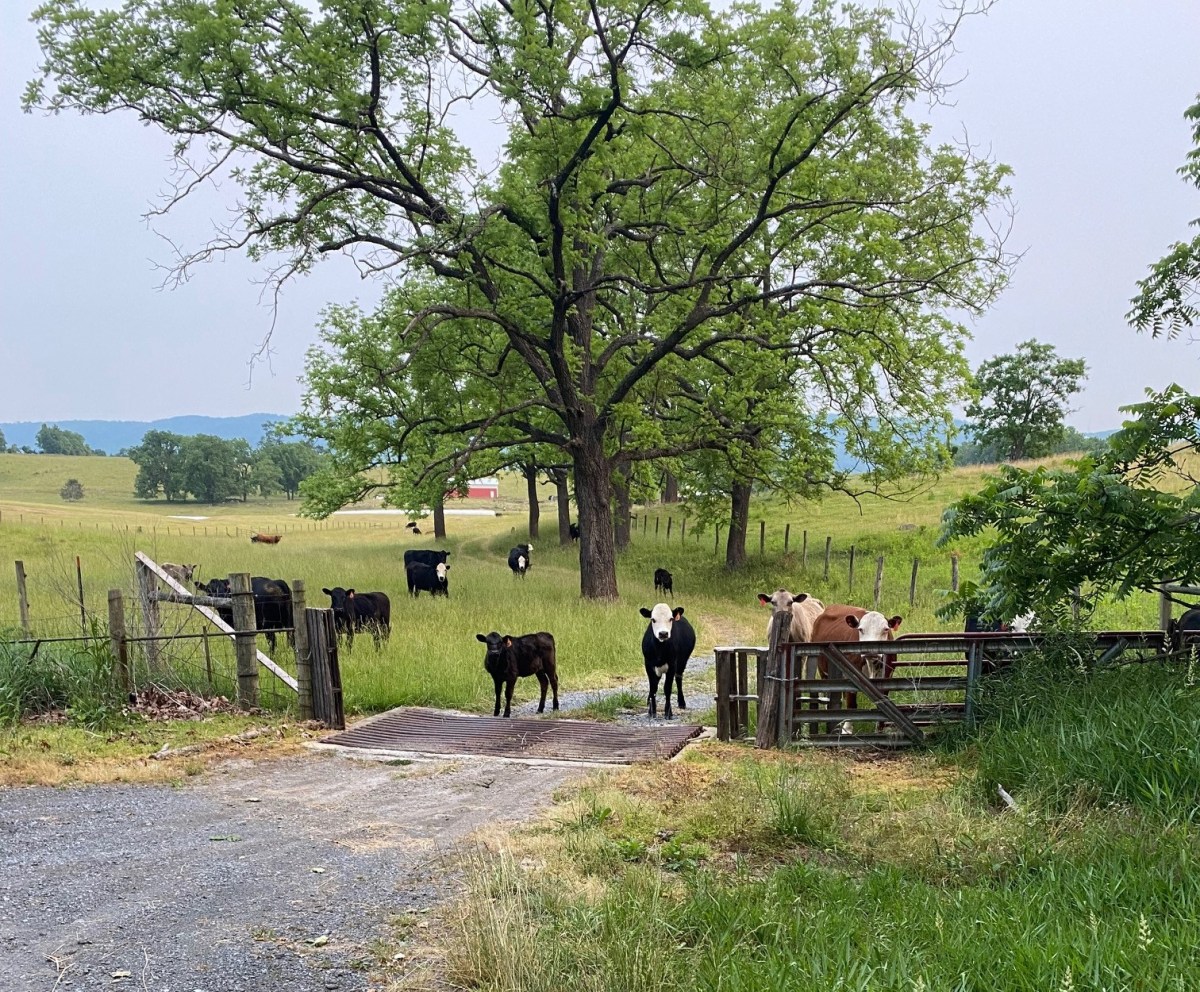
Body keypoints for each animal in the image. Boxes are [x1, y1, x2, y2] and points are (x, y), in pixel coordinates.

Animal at [809, 605, 902, 735]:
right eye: (861, 629)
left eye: (885, 629)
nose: (871, 650)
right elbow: (851, 704)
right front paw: (847, 729)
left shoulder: (887, 677)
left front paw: (879, 729)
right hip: (824, 671)